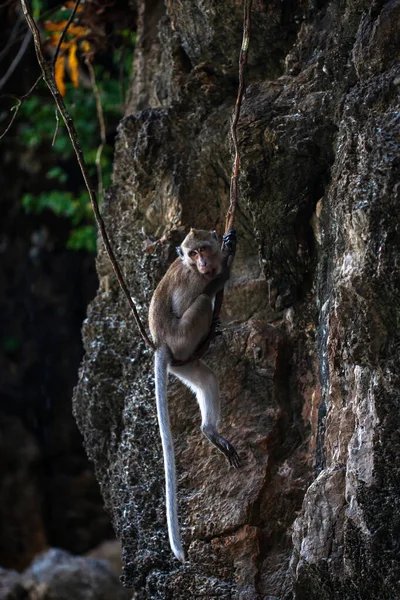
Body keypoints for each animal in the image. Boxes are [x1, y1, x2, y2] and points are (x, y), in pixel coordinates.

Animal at [148, 229, 239, 564]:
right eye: (192, 254)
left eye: (202, 249)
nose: (202, 263)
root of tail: (161, 344)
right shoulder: (192, 281)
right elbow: (197, 294)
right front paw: (226, 261)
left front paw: (228, 241)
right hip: (182, 337)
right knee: (201, 303)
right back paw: (210, 325)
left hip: (182, 364)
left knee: (206, 378)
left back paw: (209, 431)